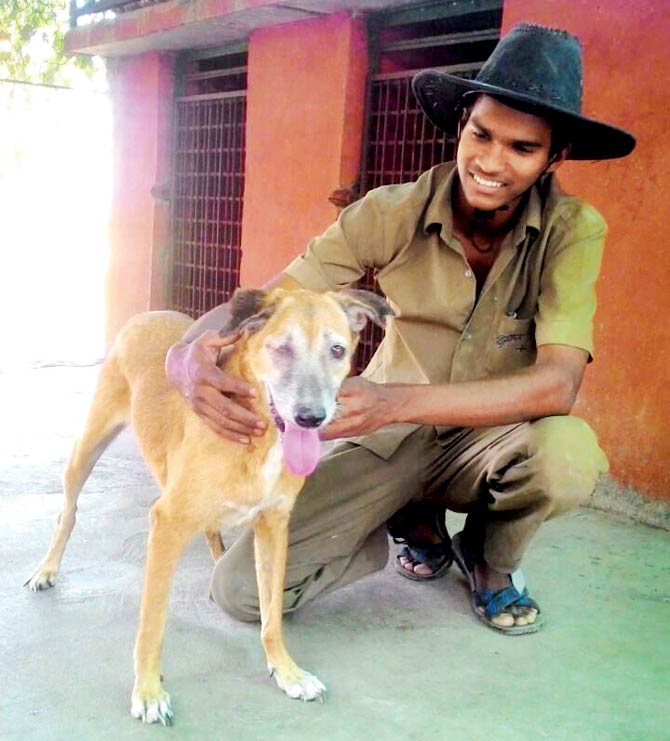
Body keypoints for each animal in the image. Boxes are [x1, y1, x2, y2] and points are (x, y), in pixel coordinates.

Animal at [26, 288, 394, 724]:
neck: (262, 440)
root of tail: (150, 312)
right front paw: (148, 692)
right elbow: (153, 624)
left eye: (337, 350)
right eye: (281, 348)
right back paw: (46, 570)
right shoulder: (167, 523)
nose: (311, 418)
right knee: (68, 512)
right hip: (87, 448)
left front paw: (287, 672)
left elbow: (271, 615)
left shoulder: (274, 526)